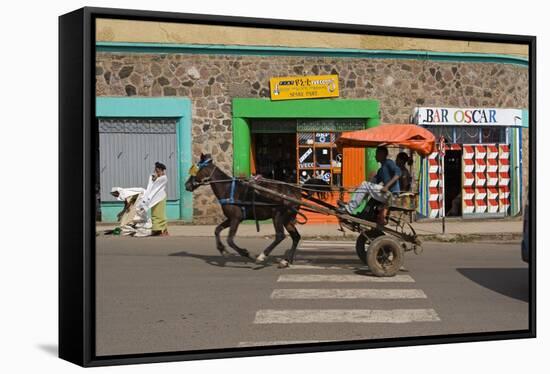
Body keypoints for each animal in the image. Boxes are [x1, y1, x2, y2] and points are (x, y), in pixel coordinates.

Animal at [185, 153, 332, 268]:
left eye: (195, 170)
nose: (187, 185)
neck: (227, 188)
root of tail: (297, 189)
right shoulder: (231, 218)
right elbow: (217, 230)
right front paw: (222, 250)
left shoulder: (236, 219)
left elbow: (230, 240)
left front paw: (246, 253)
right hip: (288, 218)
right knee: (295, 236)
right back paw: (286, 261)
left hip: (278, 215)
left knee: (280, 236)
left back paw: (262, 256)